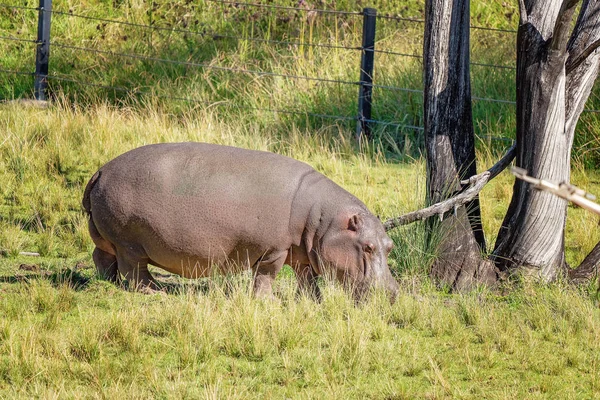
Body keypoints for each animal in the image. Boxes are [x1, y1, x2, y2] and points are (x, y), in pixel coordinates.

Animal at [79, 142, 398, 302]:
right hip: (130, 243)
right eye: (368, 247)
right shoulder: (274, 250)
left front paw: (313, 302)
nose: (393, 293)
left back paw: (106, 283)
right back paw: (156, 291)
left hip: (109, 239)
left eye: (390, 246)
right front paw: (268, 302)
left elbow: (307, 280)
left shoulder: (302, 254)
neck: (322, 220)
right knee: (134, 272)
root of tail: (100, 171)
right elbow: (267, 275)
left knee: (102, 257)